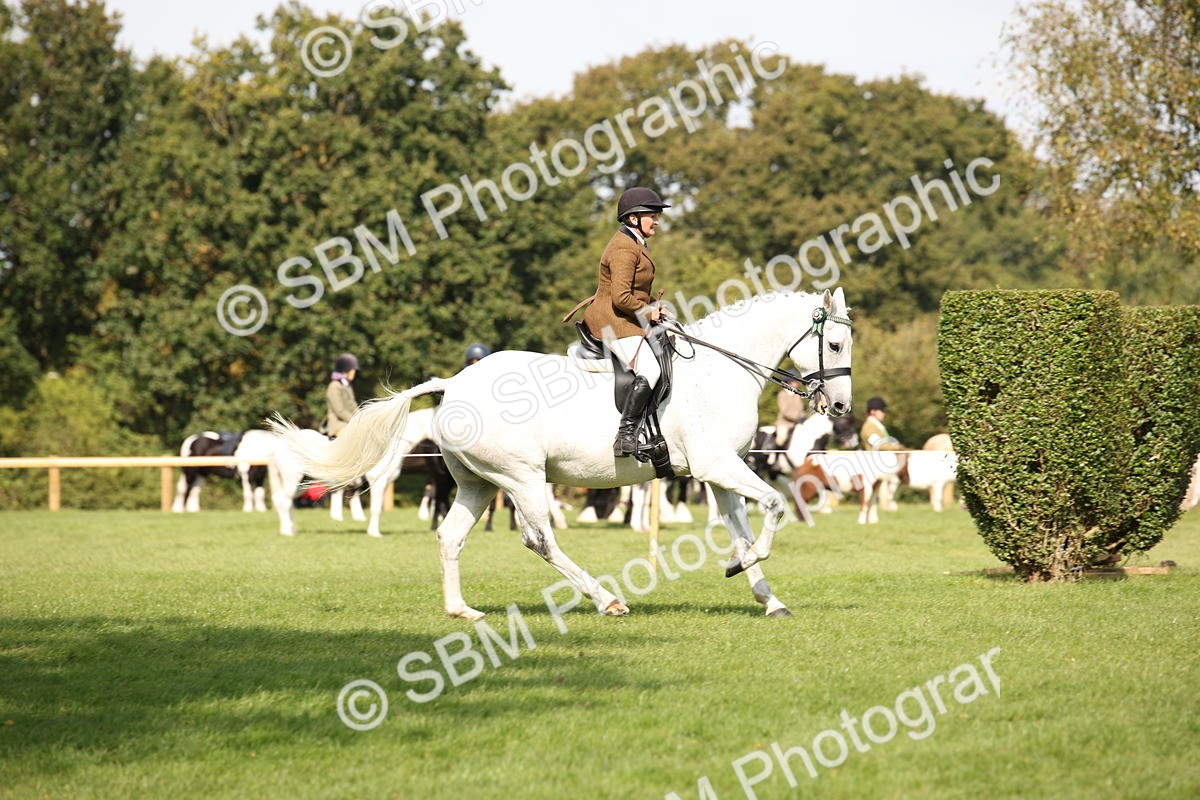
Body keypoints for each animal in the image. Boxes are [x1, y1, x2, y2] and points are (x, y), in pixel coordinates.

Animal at [270, 288, 853, 619]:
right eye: (836, 345)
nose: (841, 406)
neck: (720, 371)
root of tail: (454, 383)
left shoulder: (719, 473)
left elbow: (743, 528)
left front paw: (765, 595)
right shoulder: (718, 466)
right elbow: (774, 507)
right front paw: (742, 568)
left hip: (477, 483)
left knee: (450, 536)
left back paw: (461, 611)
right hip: (522, 478)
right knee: (540, 539)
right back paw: (607, 600)